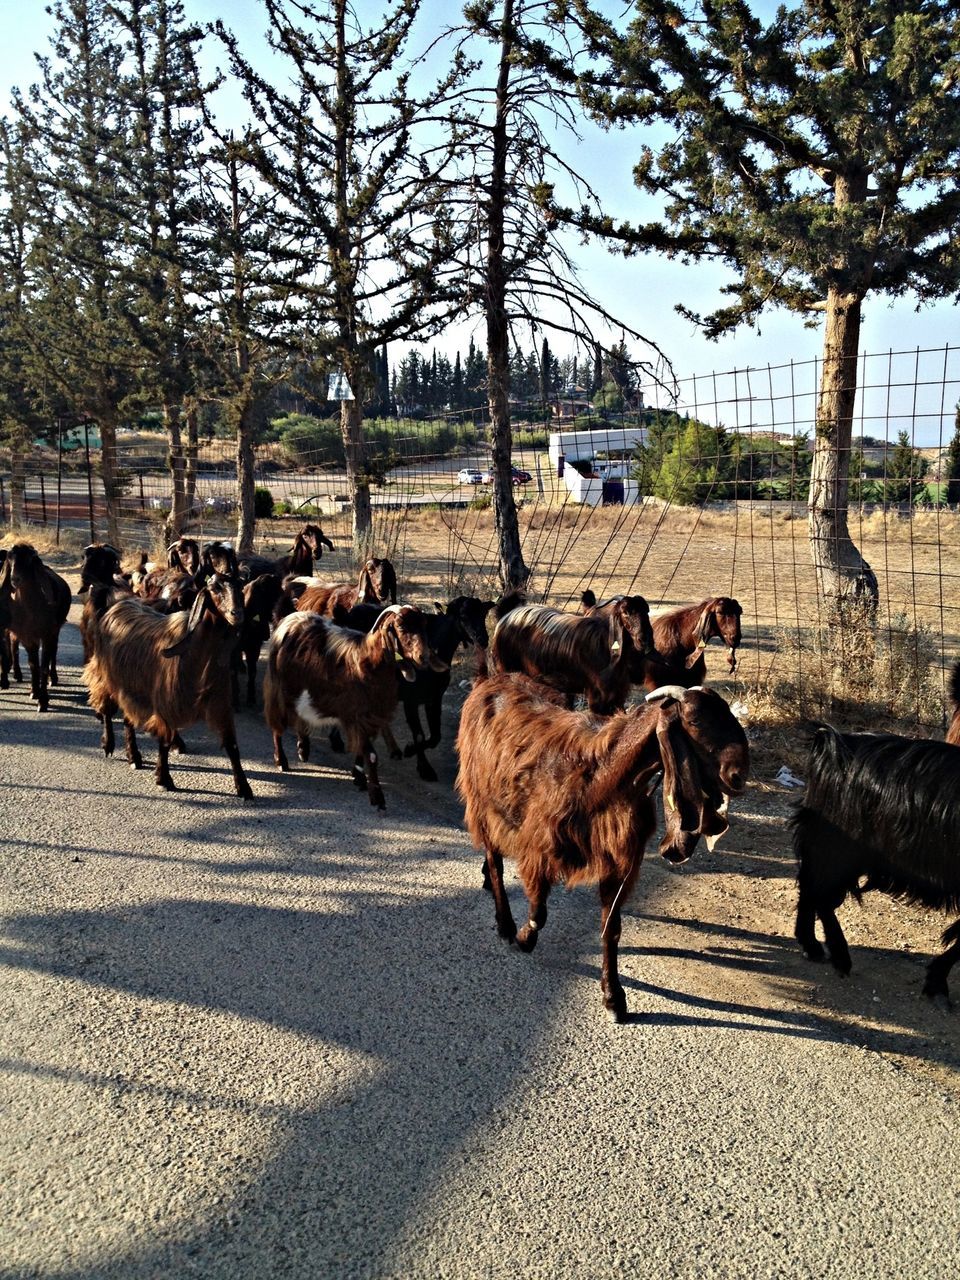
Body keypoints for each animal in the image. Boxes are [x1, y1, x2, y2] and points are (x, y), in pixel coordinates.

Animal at [83, 576, 252, 793]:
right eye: (215, 589)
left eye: (240, 587)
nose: (237, 614)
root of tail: (116, 604)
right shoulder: (165, 703)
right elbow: (164, 742)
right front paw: (164, 778)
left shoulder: (220, 704)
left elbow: (232, 745)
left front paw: (244, 787)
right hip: (107, 676)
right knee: (106, 710)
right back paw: (109, 744)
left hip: (132, 687)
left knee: (128, 719)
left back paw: (134, 756)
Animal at [267, 601, 448, 808]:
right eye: (401, 627)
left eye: (424, 626)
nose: (423, 657)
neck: (369, 664)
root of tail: (289, 621)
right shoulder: (358, 715)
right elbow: (371, 754)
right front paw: (377, 796)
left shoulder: (370, 717)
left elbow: (363, 750)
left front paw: (359, 777)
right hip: (280, 690)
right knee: (277, 724)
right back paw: (281, 760)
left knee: (299, 716)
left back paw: (303, 748)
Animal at [458, 675, 752, 1024]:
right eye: (694, 721)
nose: (738, 774)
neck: (601, 775)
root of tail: (491, 682)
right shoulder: (541, 846)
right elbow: (539, 912)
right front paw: (524, 938)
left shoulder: (619, 860)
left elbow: (611, 929)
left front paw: (614, 998)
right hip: (483, 803)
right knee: (495, 862)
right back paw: (504, 923)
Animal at [491, 596, 660, 716]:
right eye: (625, 612)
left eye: (646, 612)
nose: (644, 639)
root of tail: (505, 615)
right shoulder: (598, 697)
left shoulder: (617, 696)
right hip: (504, 669)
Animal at [798, 727, 960, 1003]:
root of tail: (831, 741)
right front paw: (936, 985)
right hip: (839, 849)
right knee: (820, 896)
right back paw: (840, 957)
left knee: (810, 889)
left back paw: (811, 945)